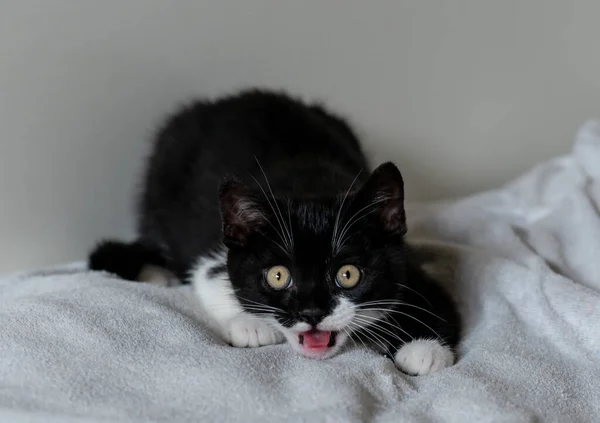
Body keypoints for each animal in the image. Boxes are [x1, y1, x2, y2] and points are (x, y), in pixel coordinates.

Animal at [89, 88, 460, 374]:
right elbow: (209, 275)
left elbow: (432, 296)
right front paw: (250, 325)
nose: (311, 313)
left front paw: (425, 349)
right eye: (278, 276)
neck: (311, 187)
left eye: (348, 274)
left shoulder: (405, 259)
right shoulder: (210, 247)